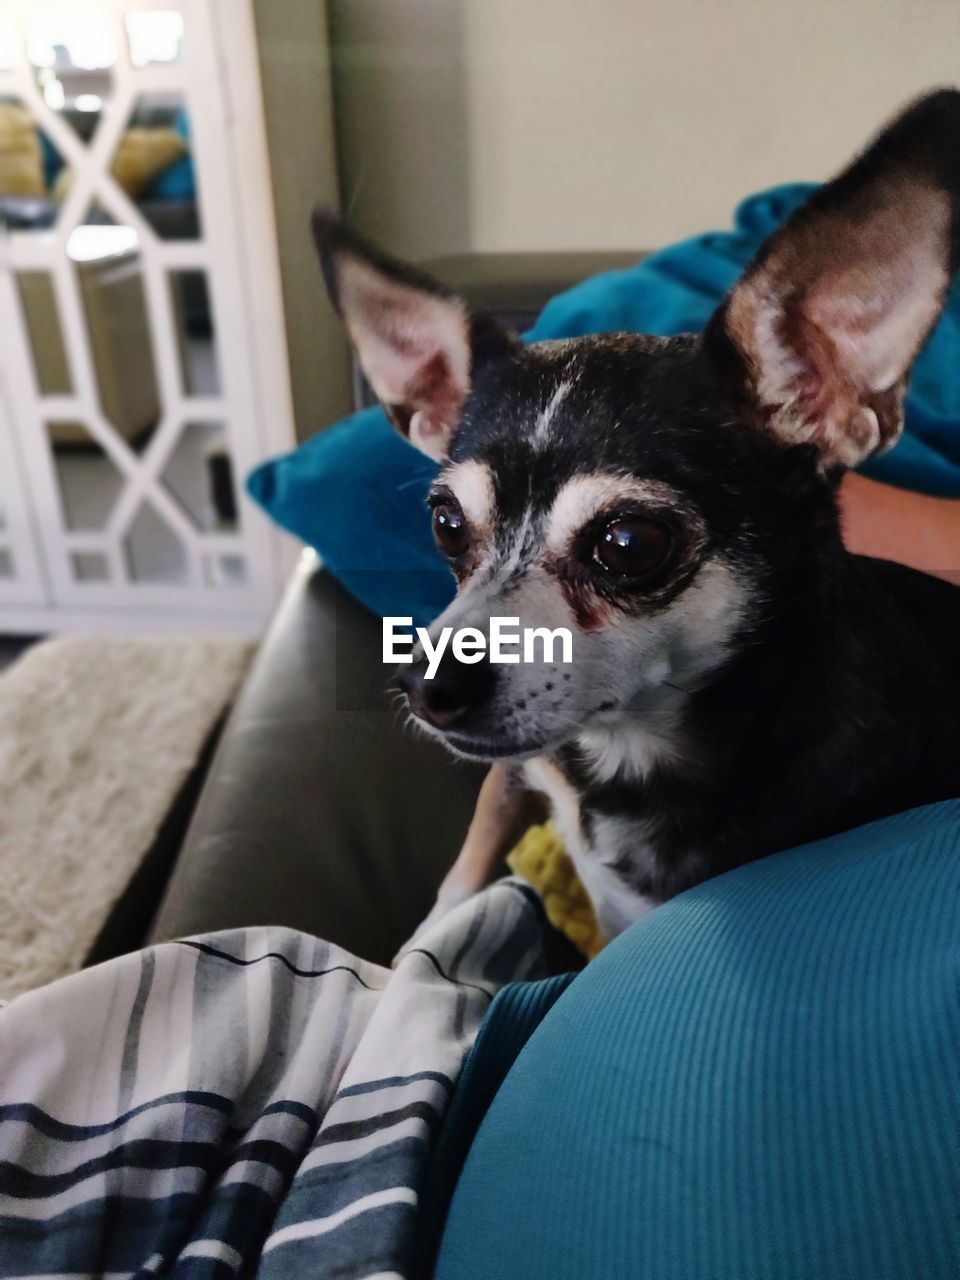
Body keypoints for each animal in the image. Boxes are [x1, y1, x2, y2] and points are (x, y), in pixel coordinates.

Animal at [313, 92, 960, 942]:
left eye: (628, 544)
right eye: (447, 525)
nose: (427, 682)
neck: (627, 763)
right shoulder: (518, 776)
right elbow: (464, 874)